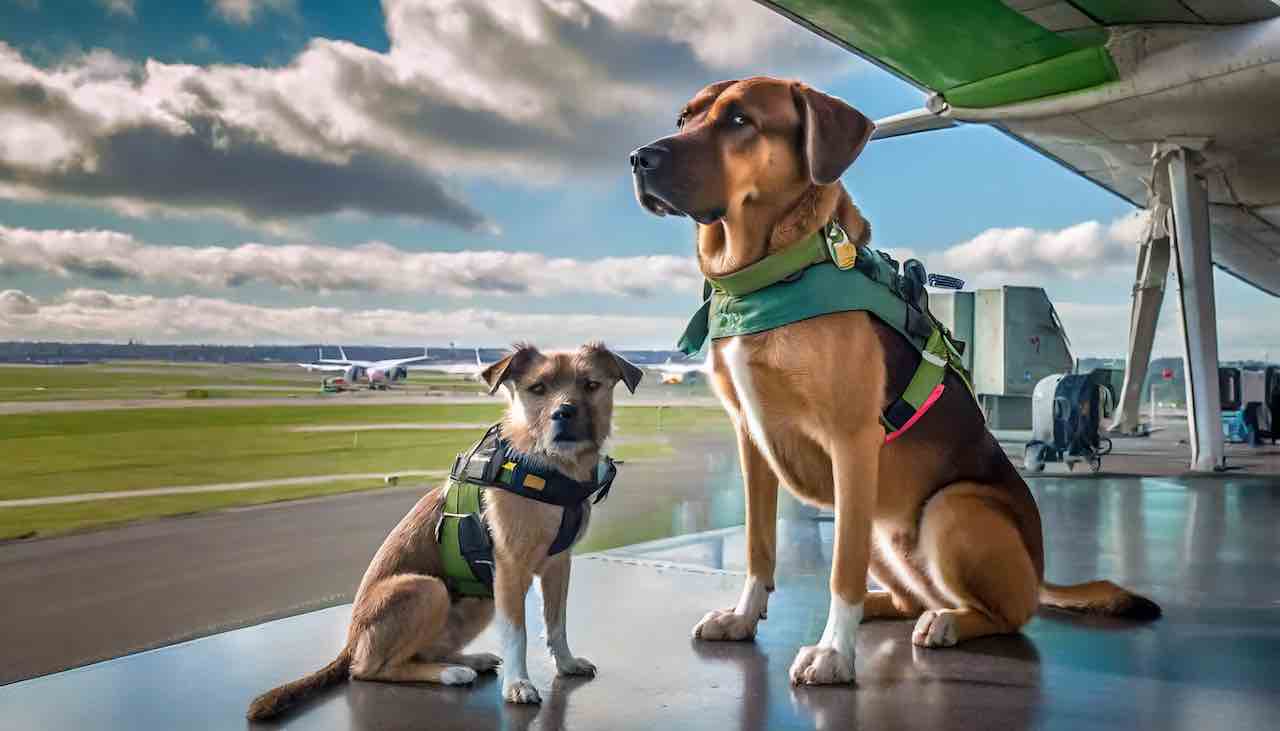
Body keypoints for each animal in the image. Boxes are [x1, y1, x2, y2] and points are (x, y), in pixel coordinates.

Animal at [245, 343, 645, 722]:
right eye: (538, 388)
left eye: (591, 385)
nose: (564, 413)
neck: (551, 468)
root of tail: (350, 642)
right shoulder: (510, 568)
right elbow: (517, 633)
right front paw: (518, 684)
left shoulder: (558, 565)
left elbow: (556, 622)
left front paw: (565, 663)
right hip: (427, 589)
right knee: (368, 669)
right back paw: (451, 673)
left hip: (479, 602)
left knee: (419, 653)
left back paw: (469, 661)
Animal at [629, 78, 1162, 686]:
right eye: (684, 117)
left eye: (739, 119)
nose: (639, 159)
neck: (767, 275)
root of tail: (1038, 570)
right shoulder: (751, 440)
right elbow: (758, 546)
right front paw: (744, 618)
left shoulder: (852, 443)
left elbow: (841, 568)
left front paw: (833, 653)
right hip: (885, 529)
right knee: (910, 593)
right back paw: (889, 605)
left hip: (951, 508)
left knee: (1006, 614)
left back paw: (946, 622)